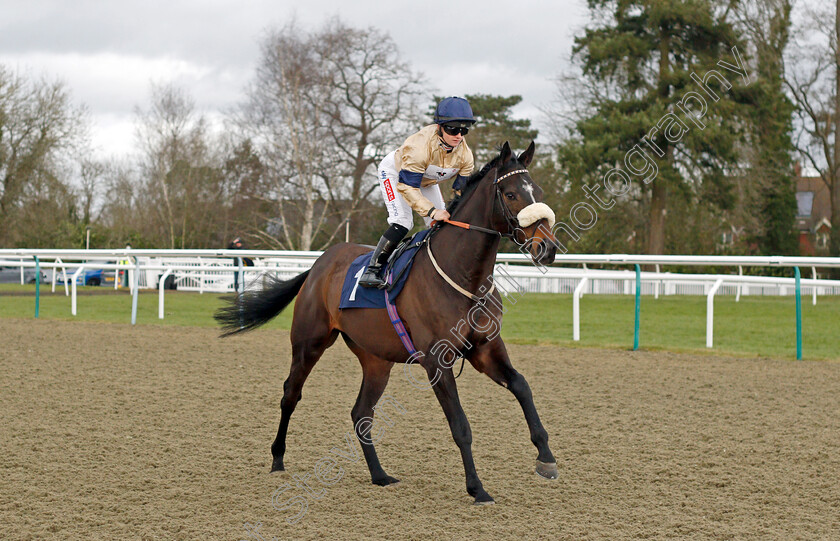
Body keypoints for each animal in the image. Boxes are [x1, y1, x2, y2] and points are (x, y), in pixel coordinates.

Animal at [215, 140, 556, 502]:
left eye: (538, 191)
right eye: (510, 194)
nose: (547, 247)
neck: (465, 275)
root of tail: (319, 265)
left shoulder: (485, 348)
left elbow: (522, 386)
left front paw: (546, 458)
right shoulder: (436, 360)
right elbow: (460, 425)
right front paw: (477, 488)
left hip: (375, 359)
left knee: (361, 413)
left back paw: (379, 475)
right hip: (309, 342)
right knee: (291, 394)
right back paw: (278, 459)